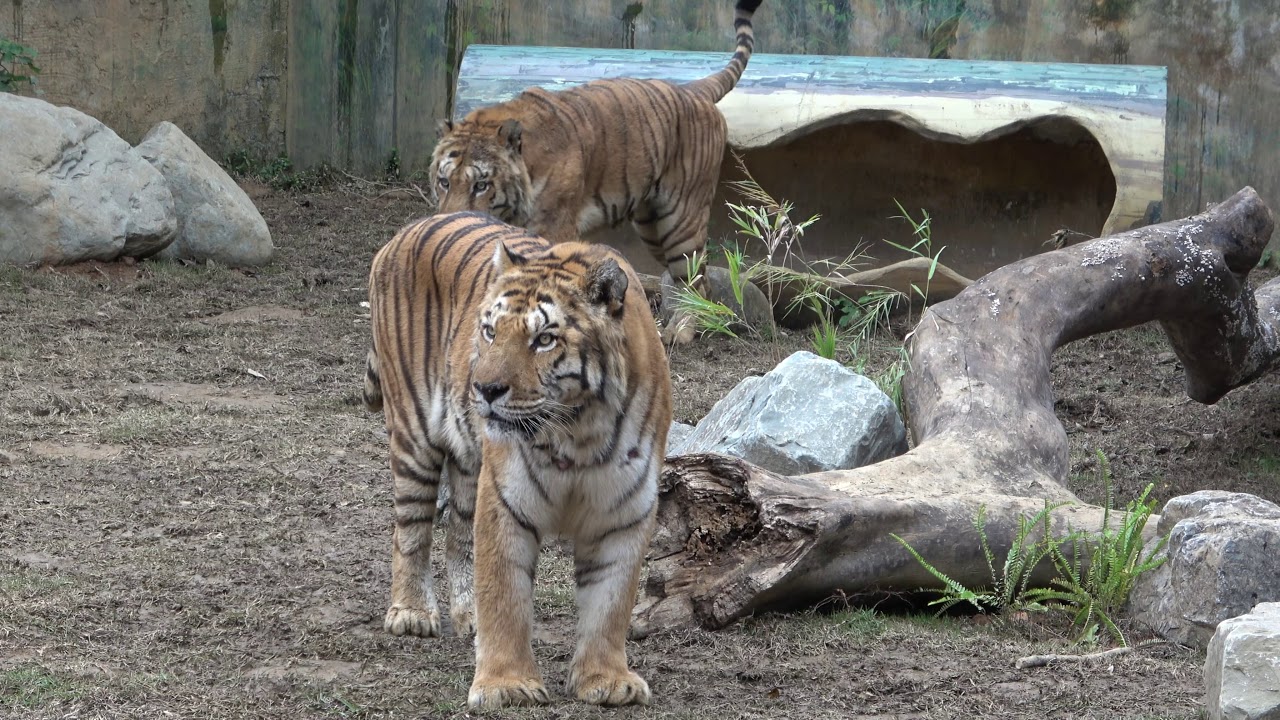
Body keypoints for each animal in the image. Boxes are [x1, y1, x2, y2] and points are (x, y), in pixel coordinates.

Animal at [363, 211, 673, 710]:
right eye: (490, 331)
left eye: (543, 339)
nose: (484, 389)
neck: (579, 432)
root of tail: (406, 229)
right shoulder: (505, 499)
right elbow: (505, 595)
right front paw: (506, 685)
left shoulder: (624, 510)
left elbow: (610, 603)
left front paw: (606, 680)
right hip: (414, 437)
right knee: (410, 530)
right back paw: (410, 613)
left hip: (469, 464)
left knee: (458, 538)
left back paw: (467, 615)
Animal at [428, 0, 764, 345]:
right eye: (444, 182)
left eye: (481, 185)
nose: (449, 217)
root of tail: (694, 88)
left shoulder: (554, 227)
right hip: (652, 226)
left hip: (680, 222)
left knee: (696, 279)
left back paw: (681, 332)